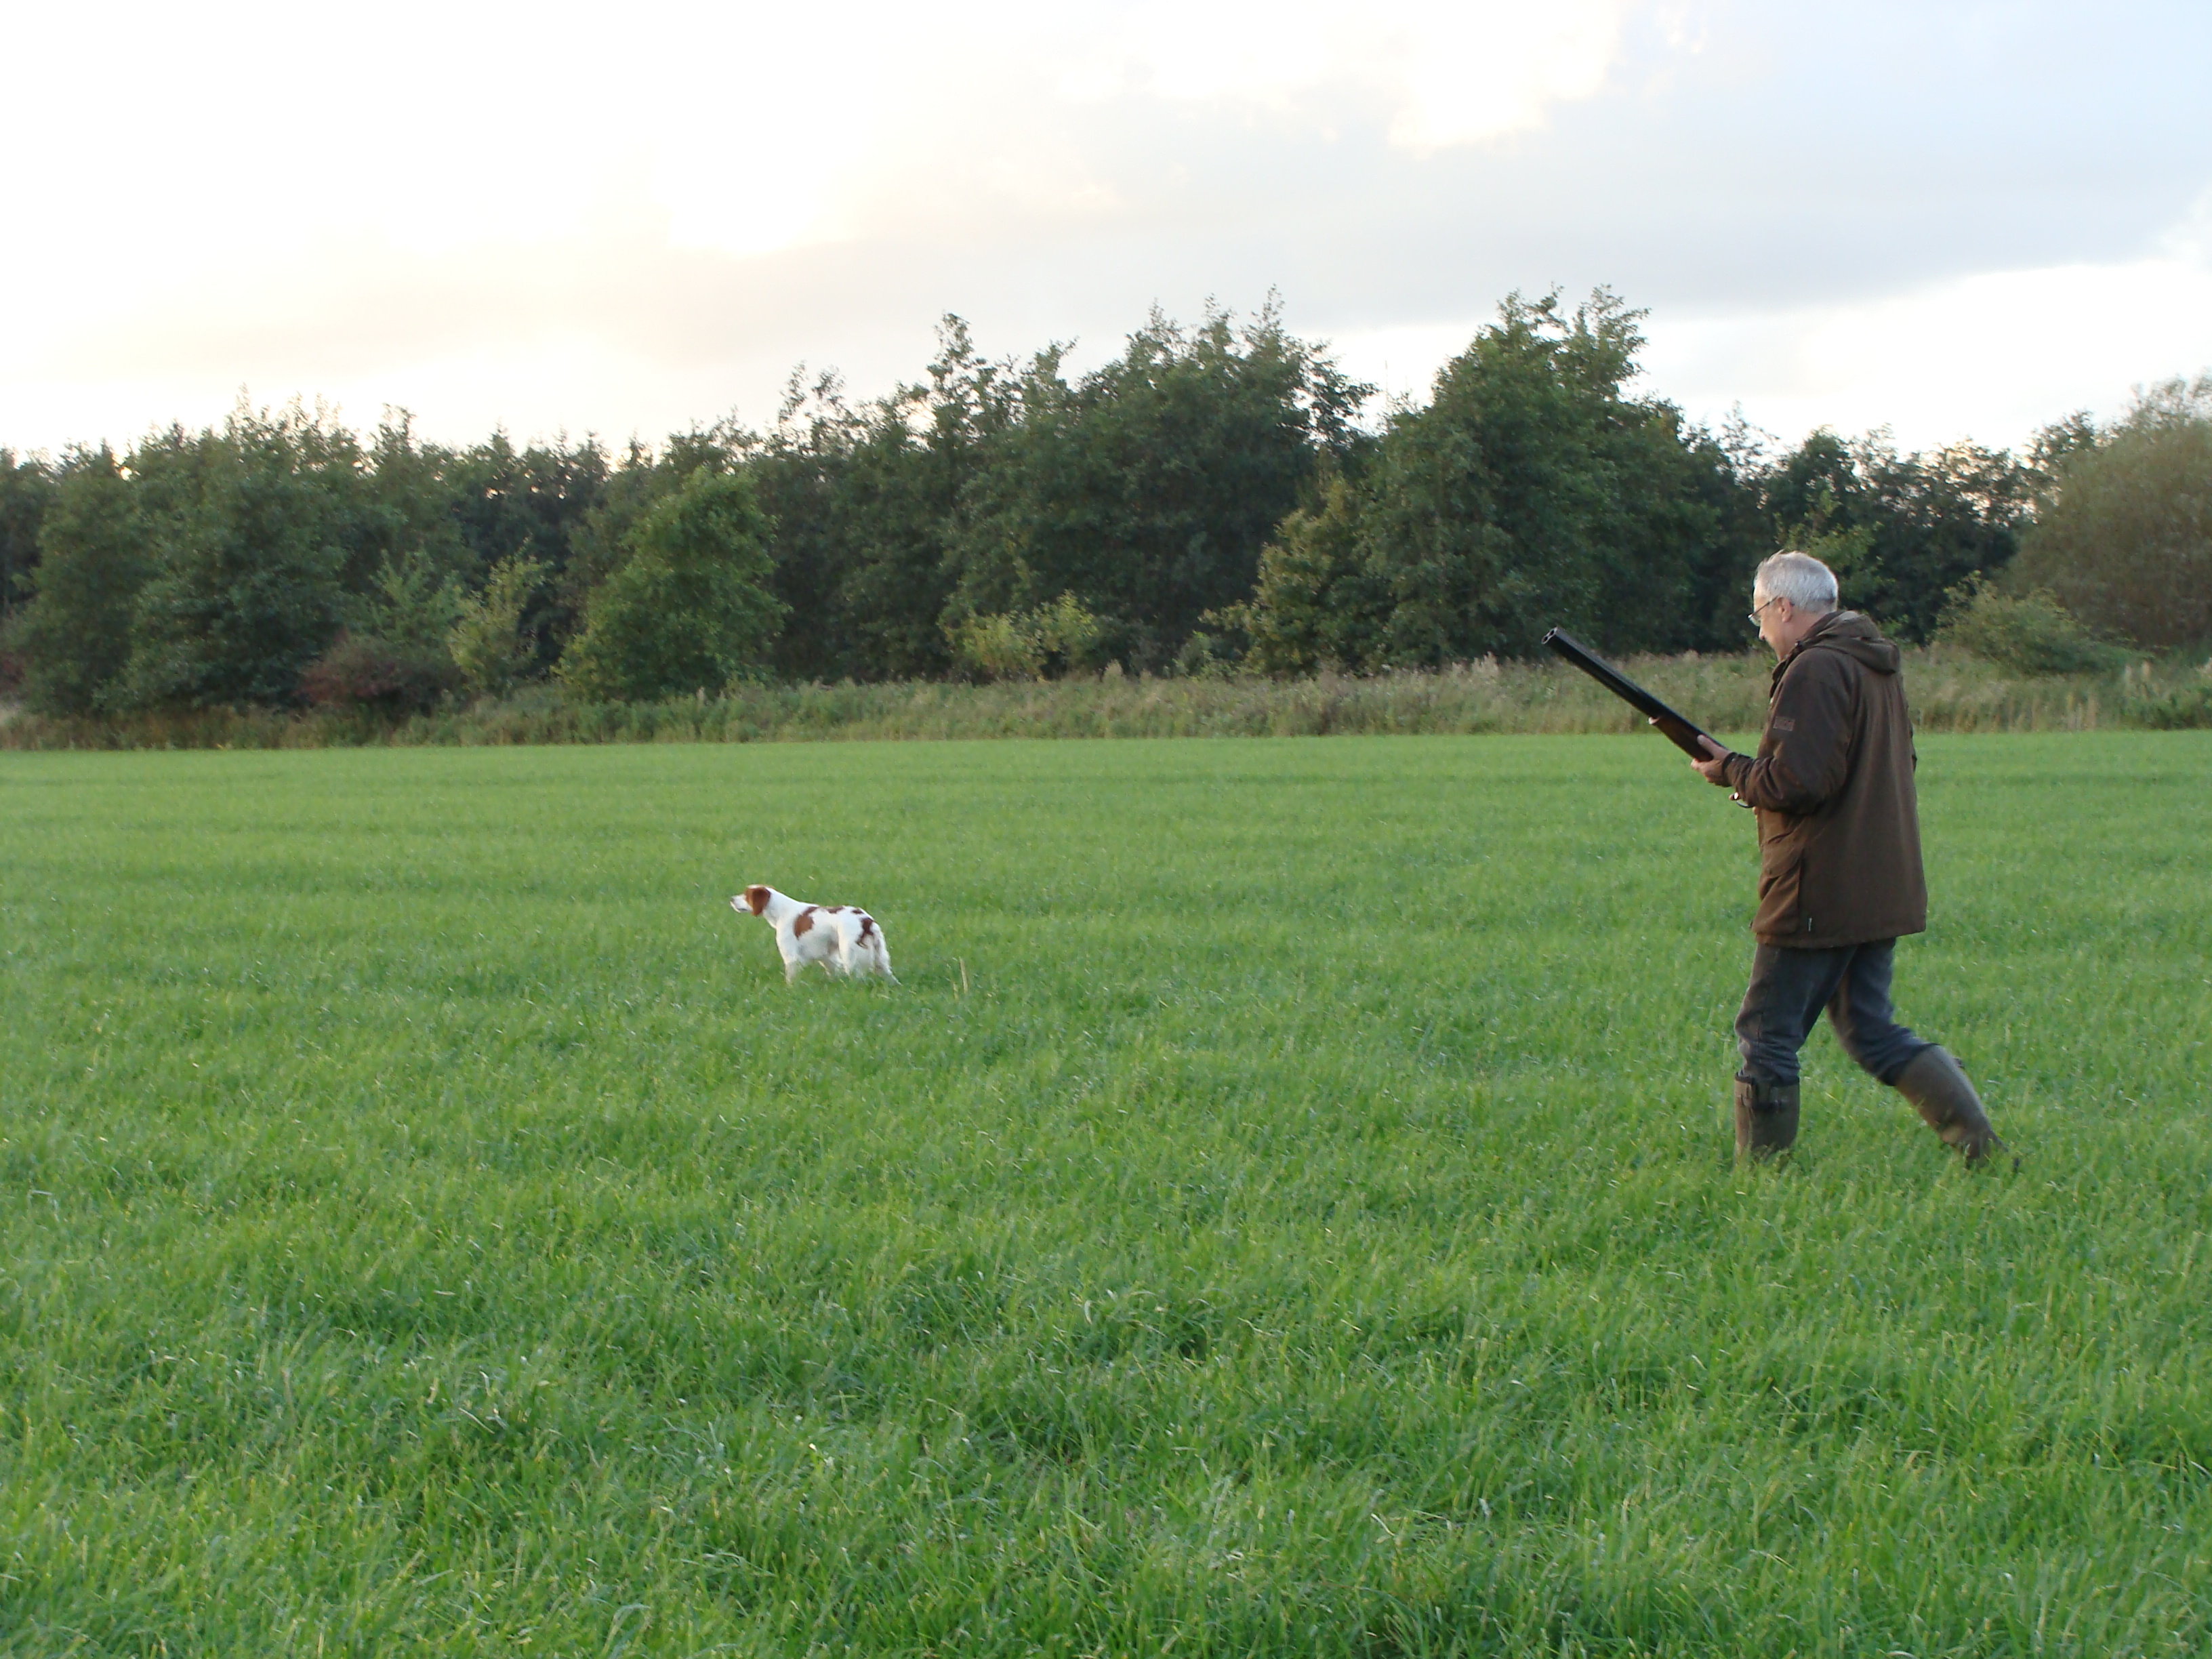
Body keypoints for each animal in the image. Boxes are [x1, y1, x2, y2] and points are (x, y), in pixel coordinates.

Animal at [734, 885, 897, 984]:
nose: (731, 899)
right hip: (881, 957)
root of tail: (866, 921)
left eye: (746, 895)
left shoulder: (791, 956)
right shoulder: (827, 956)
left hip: (850, 956)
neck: (781, 911)